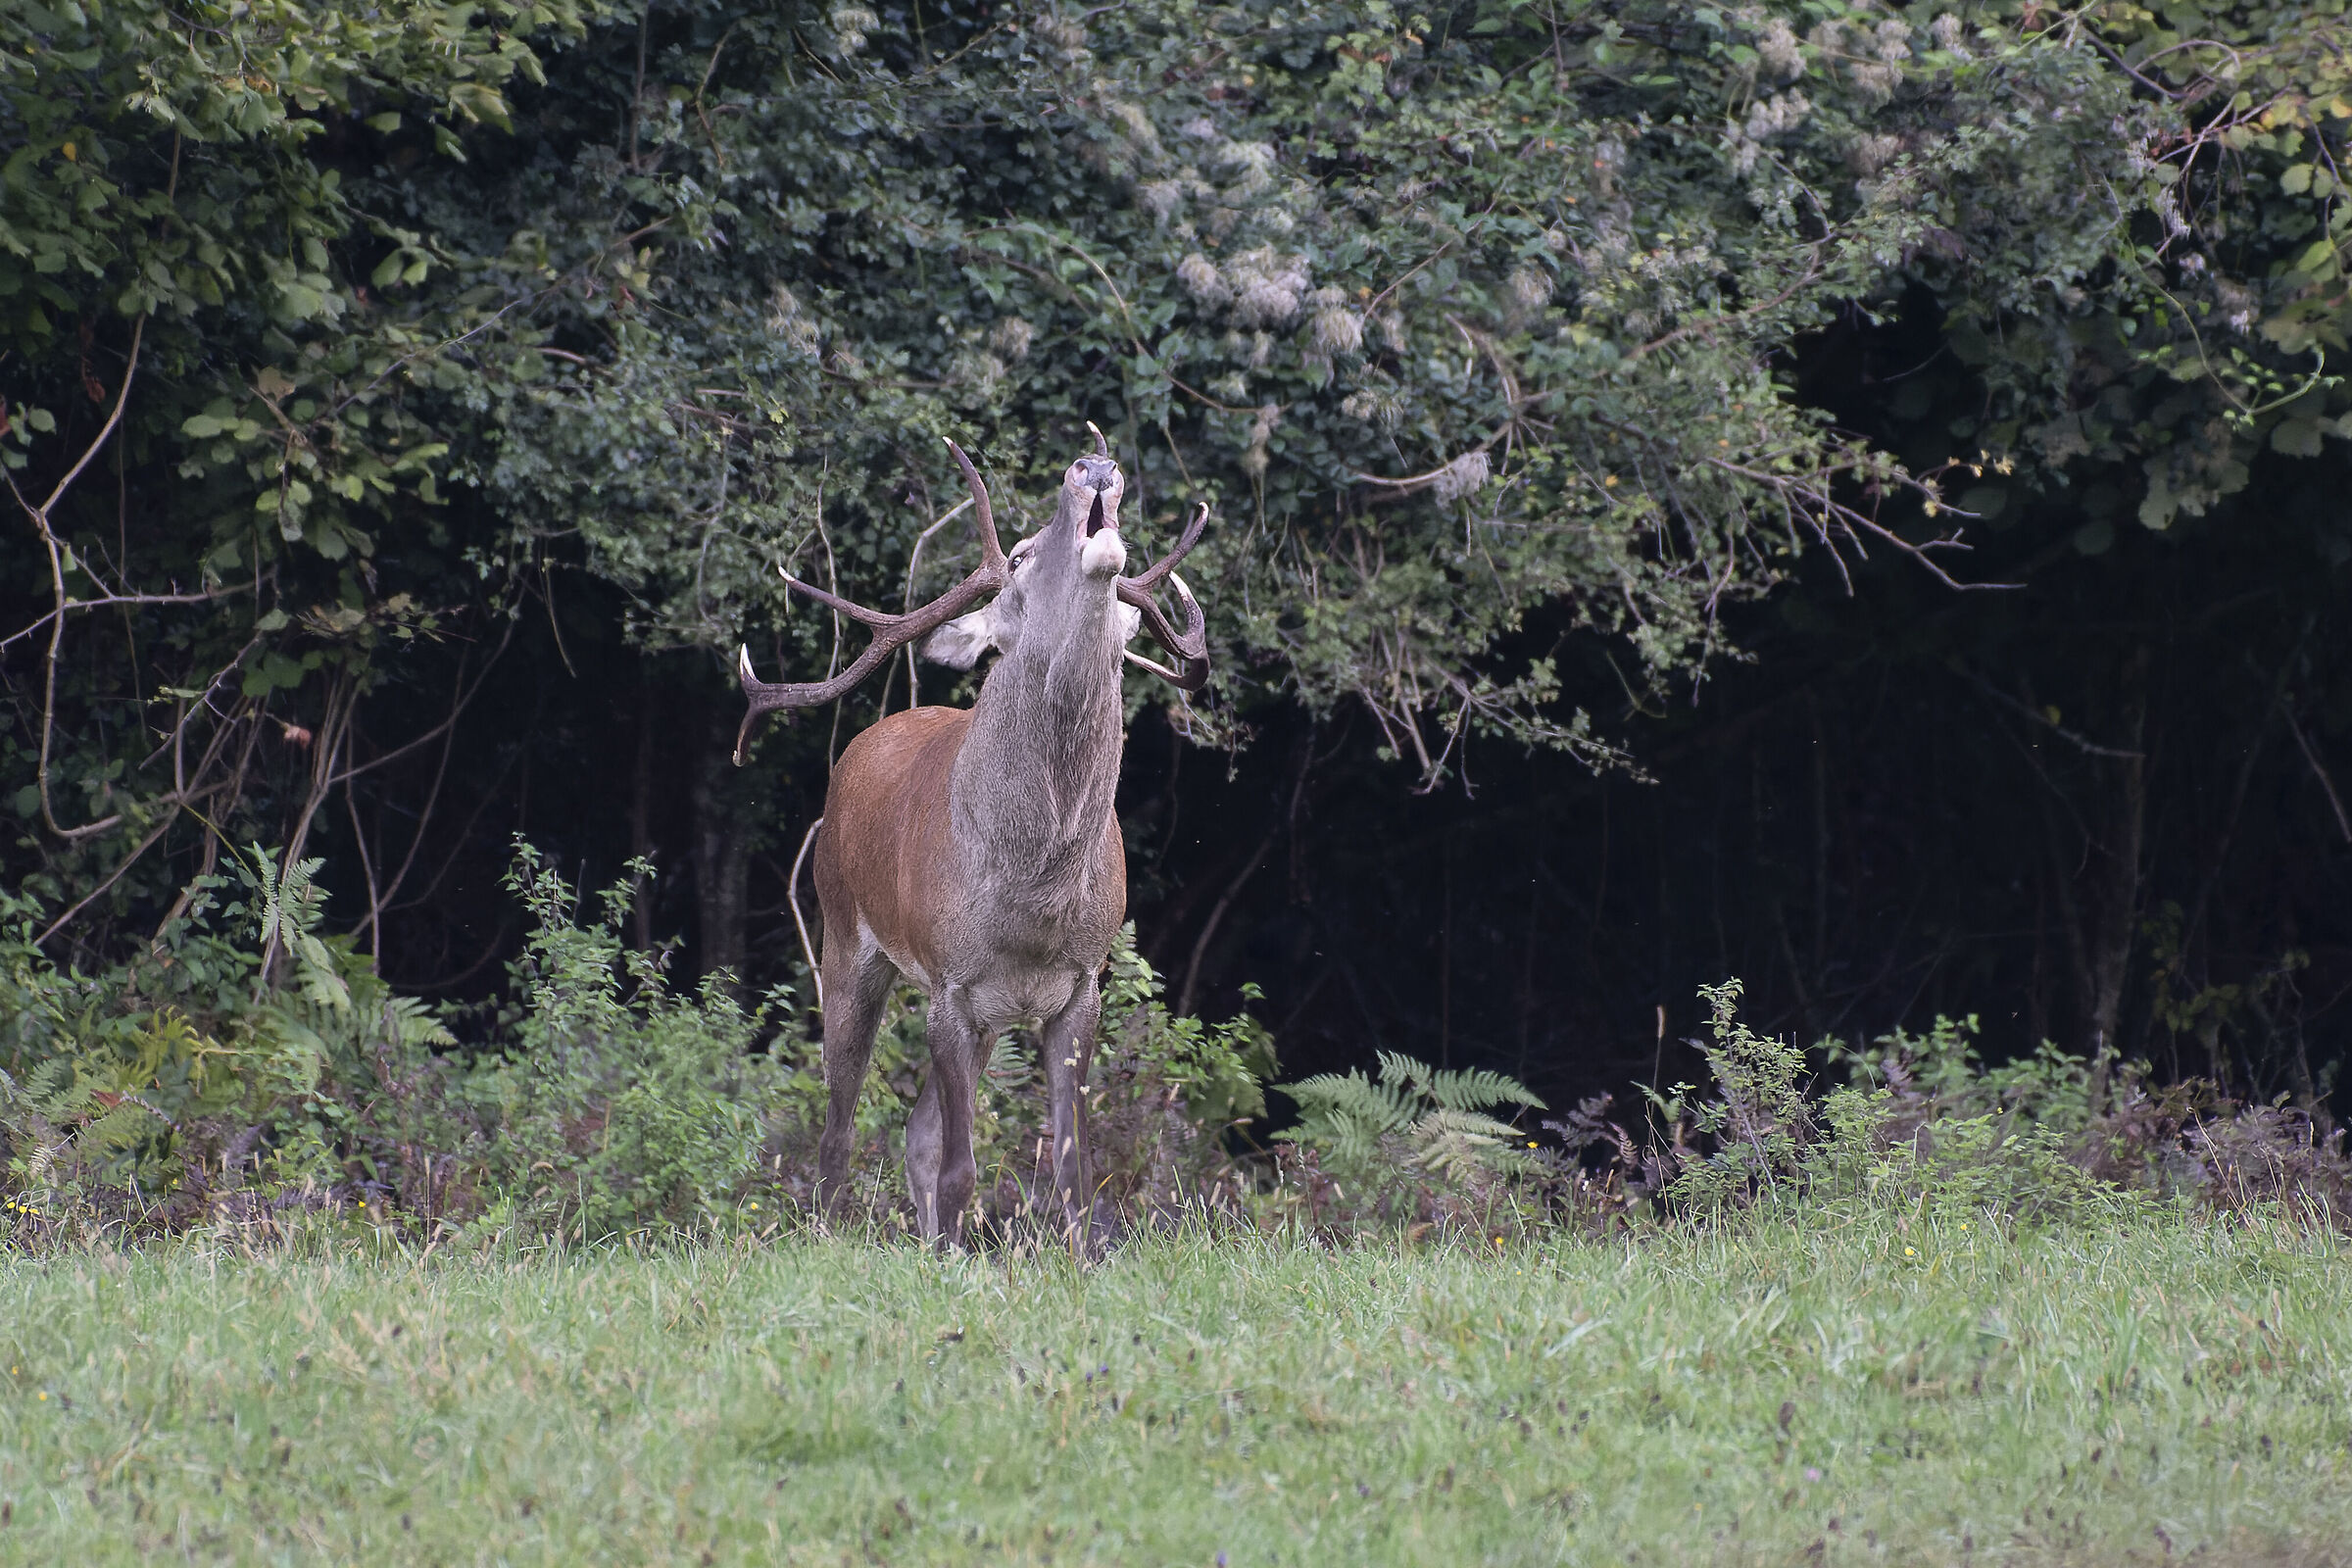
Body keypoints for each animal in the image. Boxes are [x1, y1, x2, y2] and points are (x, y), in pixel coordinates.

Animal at [733, 430, 1208, 1249]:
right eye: (1016, 556)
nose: (1094, 465)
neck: (1033, 904)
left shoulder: (1081, 983)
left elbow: (1074, 1171)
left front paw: (1075, 1259)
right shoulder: (949, 982)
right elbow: (961, 1166)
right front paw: (954, 1255)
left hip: (985, 1018)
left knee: (915, 1132)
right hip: (844, 934)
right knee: (839, 1123)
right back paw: (828, 1231)